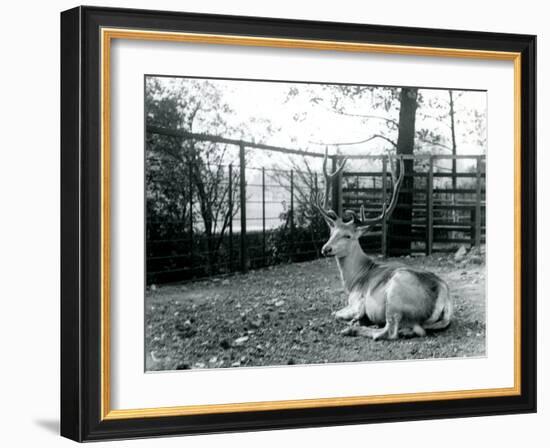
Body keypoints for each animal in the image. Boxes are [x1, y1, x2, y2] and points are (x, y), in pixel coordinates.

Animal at [312, 149, 454, 342]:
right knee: (416, 330)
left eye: (348, 236)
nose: (326, 249)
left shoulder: (357, 301)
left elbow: (336, 313)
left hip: (396, 295)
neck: (354, 281)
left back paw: (353, 329)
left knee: (390, 331)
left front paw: (354, 320)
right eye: (331, 232)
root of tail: (442, 294)